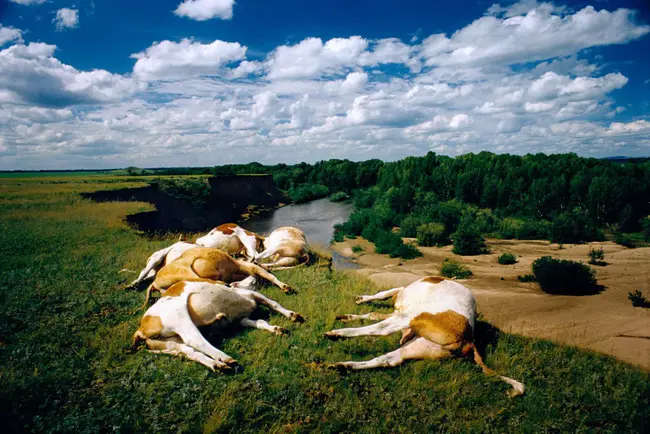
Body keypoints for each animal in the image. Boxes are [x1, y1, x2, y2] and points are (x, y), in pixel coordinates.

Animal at [133, 276, 306, 372]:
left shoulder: (241, 319)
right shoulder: (252, 294)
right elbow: (274, 303)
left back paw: (217, 365)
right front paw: (293, 315)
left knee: (189, 351)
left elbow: (261, 322)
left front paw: (277, 329)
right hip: (179, 316)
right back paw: (226, 359)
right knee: (195, 340)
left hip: (170, 343)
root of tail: (140, 328)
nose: (254, 277)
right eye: (235, 282)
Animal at [140, 248, 294, 308]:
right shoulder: (249, 267)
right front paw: (286, 287)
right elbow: (268, 275)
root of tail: (154, 283)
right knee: (208, 280)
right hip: (186, 271)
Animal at [322, 278, 524, 396]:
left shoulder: (399, 300)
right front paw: (350, 313)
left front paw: (359, 302)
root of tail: (469, 341)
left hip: (412, 317)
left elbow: (380, 297)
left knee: (380, 329)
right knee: (388, 359)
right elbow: (373, 311)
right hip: (420, 345)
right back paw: (343, 365)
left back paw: (338, 334)